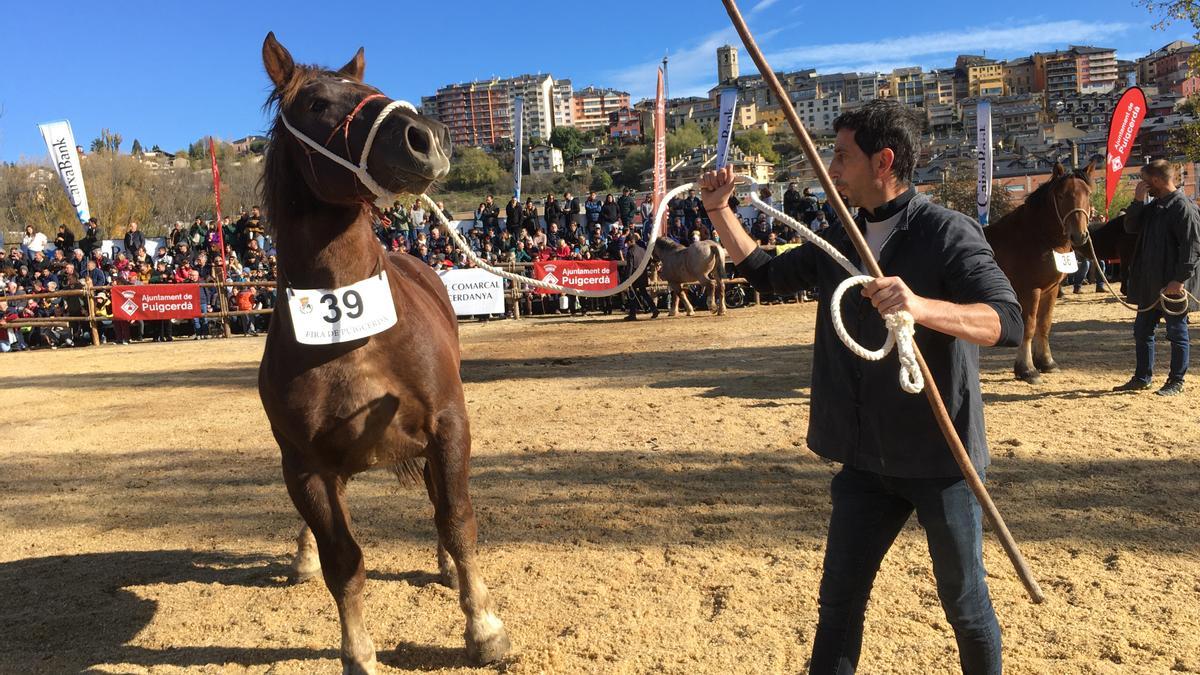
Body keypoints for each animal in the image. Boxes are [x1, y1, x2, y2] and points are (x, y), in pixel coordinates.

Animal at [259, 32, 511, 672]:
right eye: (317, 103)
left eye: (370, 88)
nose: (429, 137)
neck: (354, 336)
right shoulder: (307, 466)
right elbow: (343, 562)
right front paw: (358, 654)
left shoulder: (448, 425)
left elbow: (458, 520)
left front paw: (484, 627)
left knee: (440, 503)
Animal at [984, 159, 1099, 381]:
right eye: (1061, 195)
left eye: (1088, 194)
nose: (1079, 236)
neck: (1036, 238)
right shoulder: (1030, 291)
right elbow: (1028, 327)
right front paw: (1027, 369)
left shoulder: (1051, 290)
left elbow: (1044, 325)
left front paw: (1047, 363)